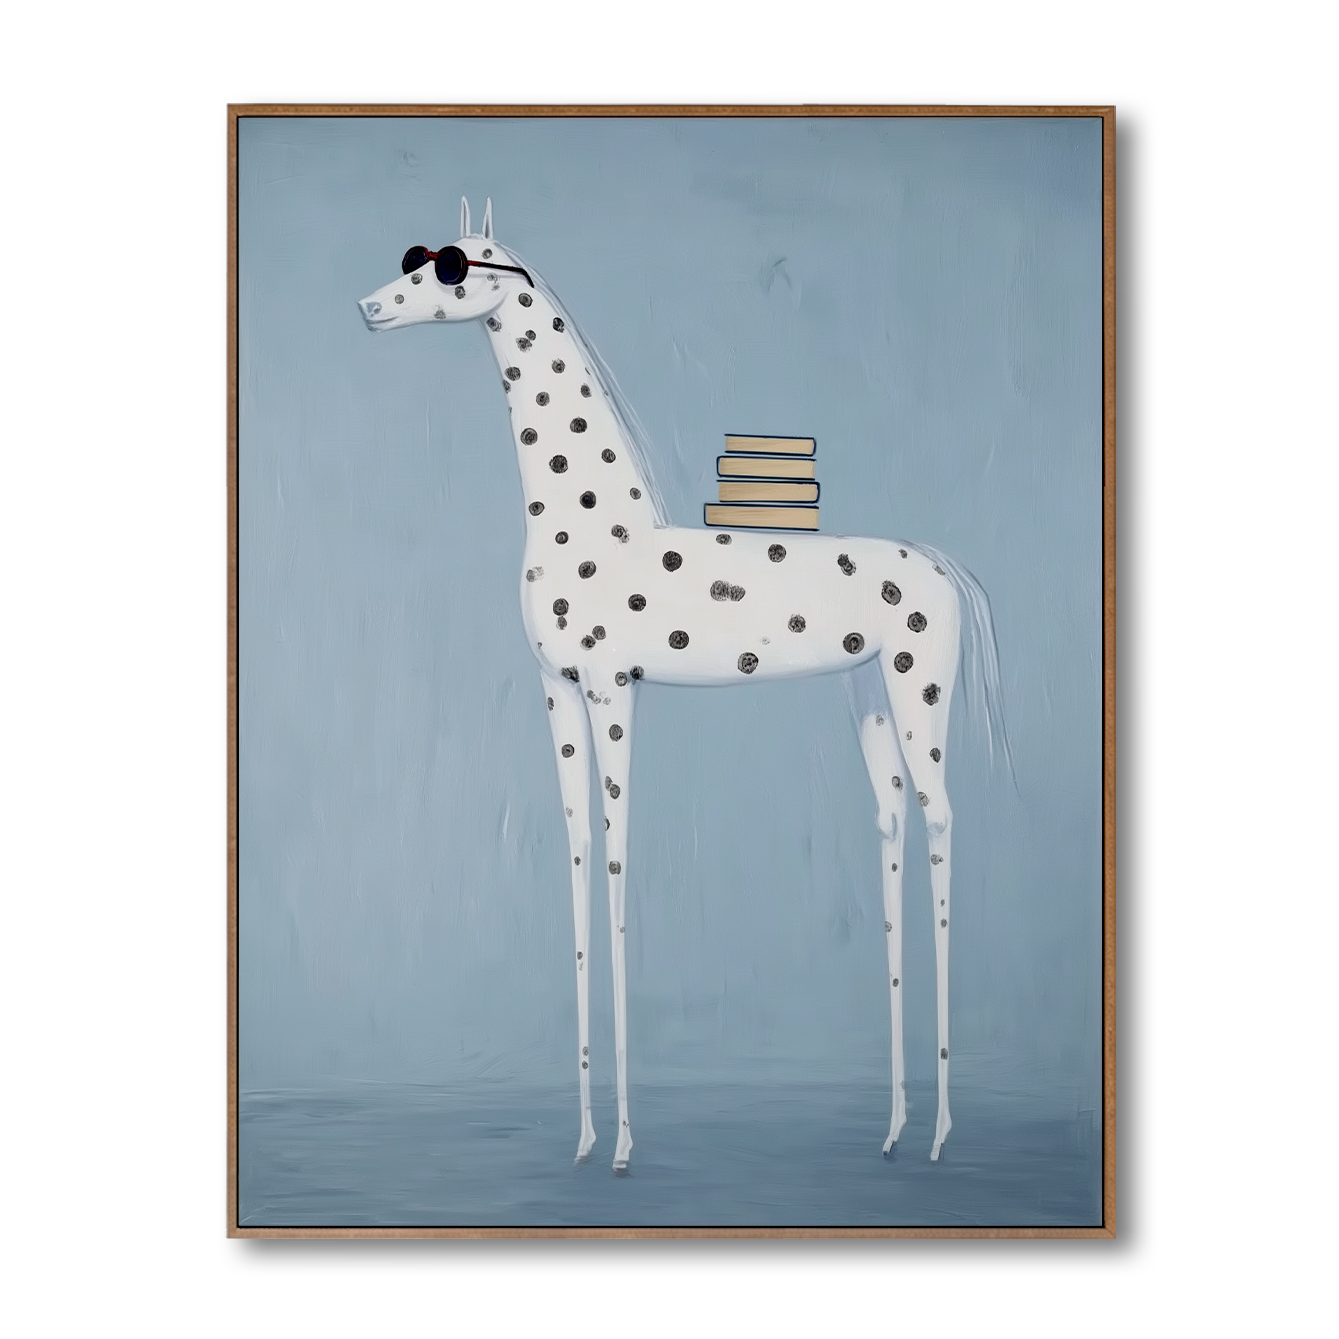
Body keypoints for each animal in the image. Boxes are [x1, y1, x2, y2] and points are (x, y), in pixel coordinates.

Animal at [358, 197, 1010, 1169]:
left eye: (450, 268)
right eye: (417, 256)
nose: (369, 307)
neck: (595, 523)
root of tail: (938, 563)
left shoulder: (613, 686)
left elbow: (618, 864)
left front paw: (624, 1141)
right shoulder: (557, 690)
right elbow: (577, 855)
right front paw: (585, 1135)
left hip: (915, 693)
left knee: (942, 822)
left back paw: (936, 1131)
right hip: (866, 699)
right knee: (892, 822)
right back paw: (893, 1126)